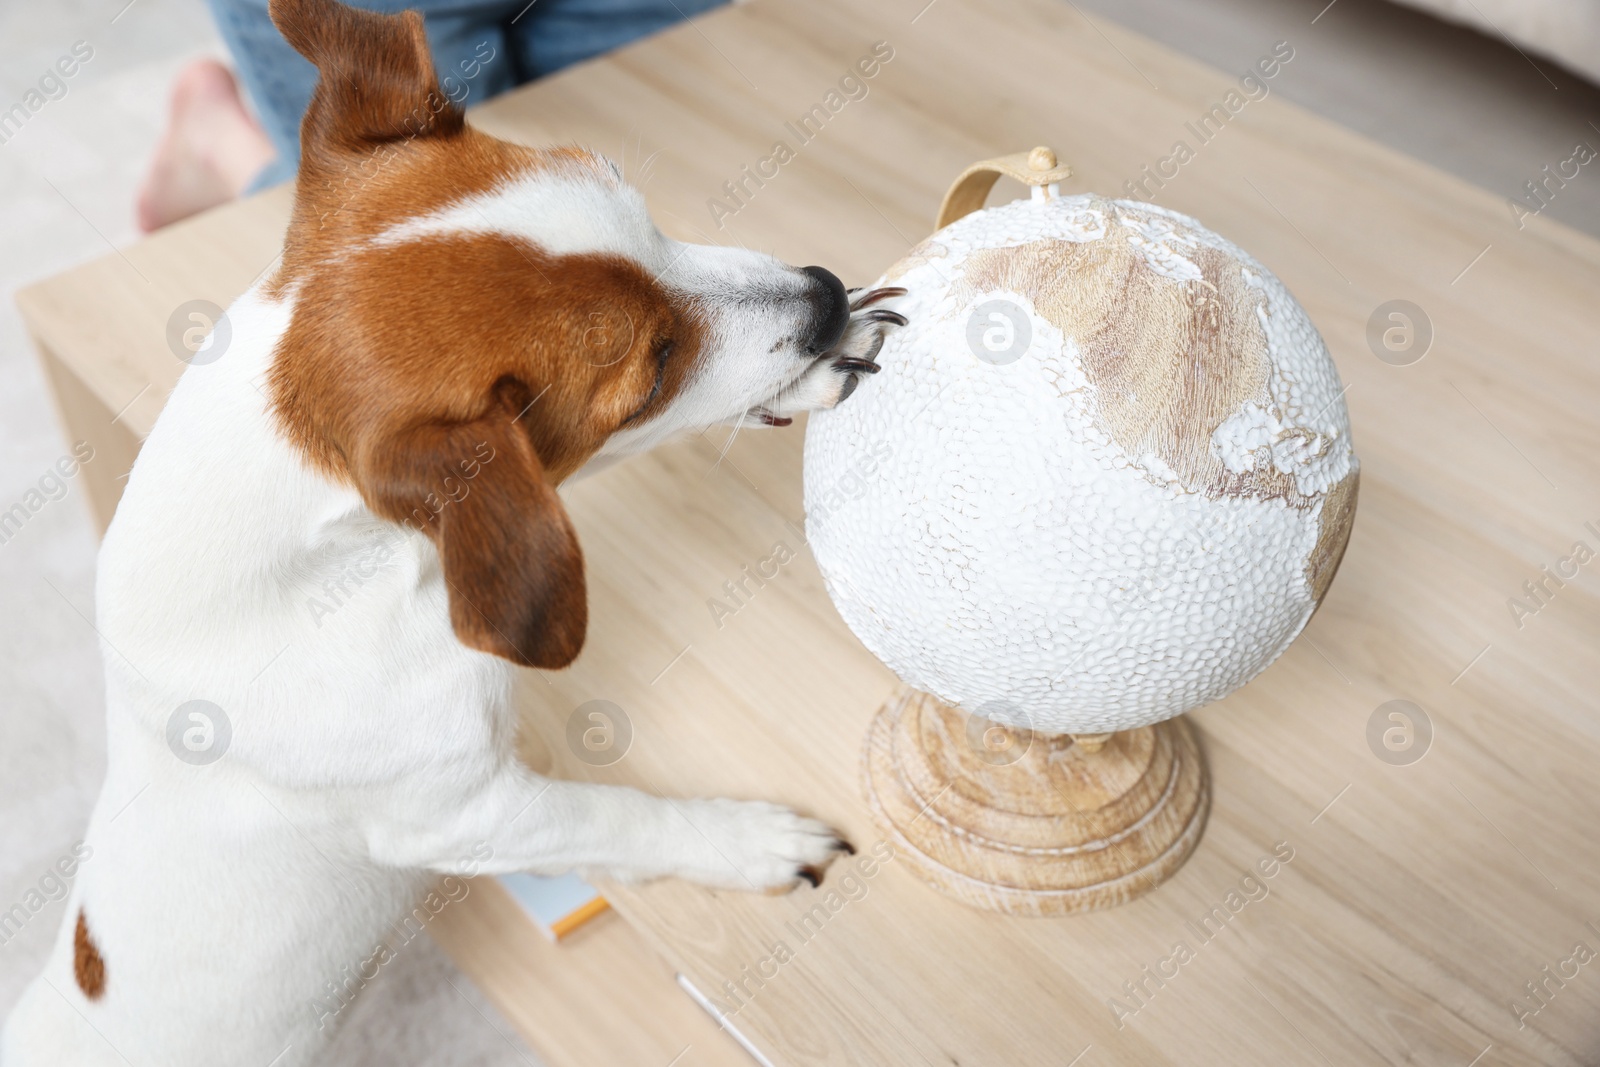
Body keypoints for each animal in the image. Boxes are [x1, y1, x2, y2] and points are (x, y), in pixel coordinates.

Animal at [0, 2, 902, 1067]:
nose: (826, 290)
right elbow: (617, 813)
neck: (368, 567)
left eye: (639, 206)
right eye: (653, 367)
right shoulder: (472, 810)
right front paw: (746, 842)